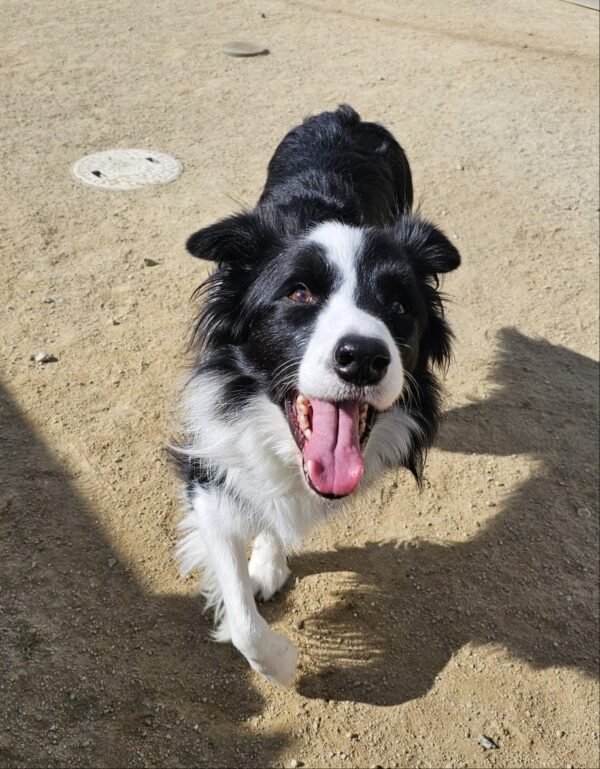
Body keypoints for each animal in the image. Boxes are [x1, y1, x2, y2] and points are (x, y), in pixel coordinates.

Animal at [175, 105, 460, 687]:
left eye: (399, 306)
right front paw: (281, 665)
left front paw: (267, 564)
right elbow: (242, 615)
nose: (363, 357)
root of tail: (348, 114)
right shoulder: (210, 461)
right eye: (299, 293)